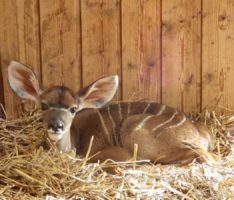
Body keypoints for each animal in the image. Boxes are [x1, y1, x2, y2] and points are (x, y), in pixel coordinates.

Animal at [8, 61, 215, 165]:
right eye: (43, 105)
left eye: (73, 108)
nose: (56, 126)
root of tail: (198, 132)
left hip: (133, 130)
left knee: (205, 156)